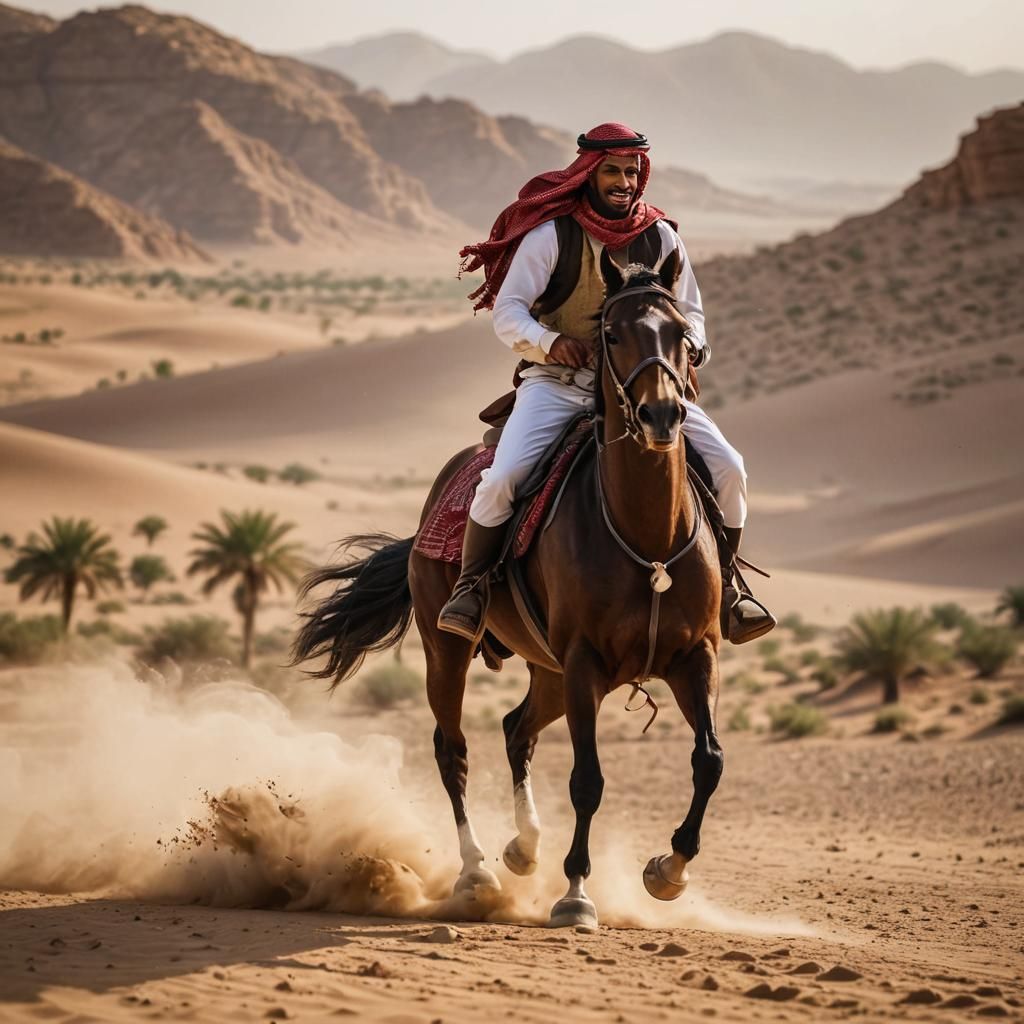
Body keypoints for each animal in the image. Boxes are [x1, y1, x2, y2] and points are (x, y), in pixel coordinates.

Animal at [292, 245, 724, 930]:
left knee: (516, 728)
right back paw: (477, 873)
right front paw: (575, 894)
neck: (647, 534)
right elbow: (588, 780)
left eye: (681, 333)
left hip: (547, 671)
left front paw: (669, 871)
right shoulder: (584, 662)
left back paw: (524, 848)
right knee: (453, 750)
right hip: (451, 653)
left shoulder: (694, 656)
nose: (661, 414)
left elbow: (708, 761)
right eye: (611, 333)